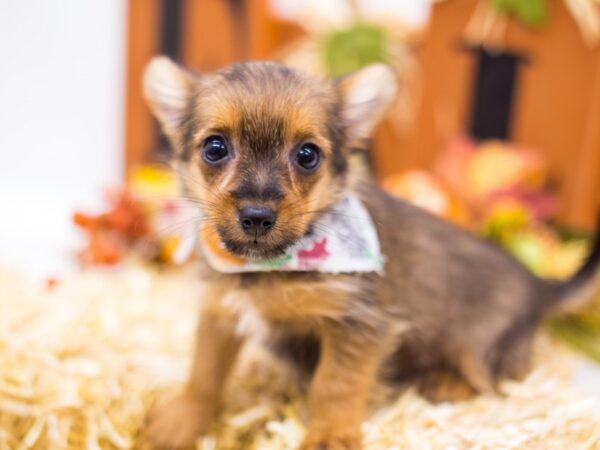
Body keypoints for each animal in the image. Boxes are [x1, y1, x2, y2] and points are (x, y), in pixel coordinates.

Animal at [142, 57, 600, 450]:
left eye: (307, 155)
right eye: (215, 148)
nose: (256, 216)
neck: (269, 268)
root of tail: (541, 286)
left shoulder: (357, 325)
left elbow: (335, 386)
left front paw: (330, 436)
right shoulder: (220, 313)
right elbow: (204, 372)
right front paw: (182, 420)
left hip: (482, 347)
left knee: (493, 376)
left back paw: (447, 383)